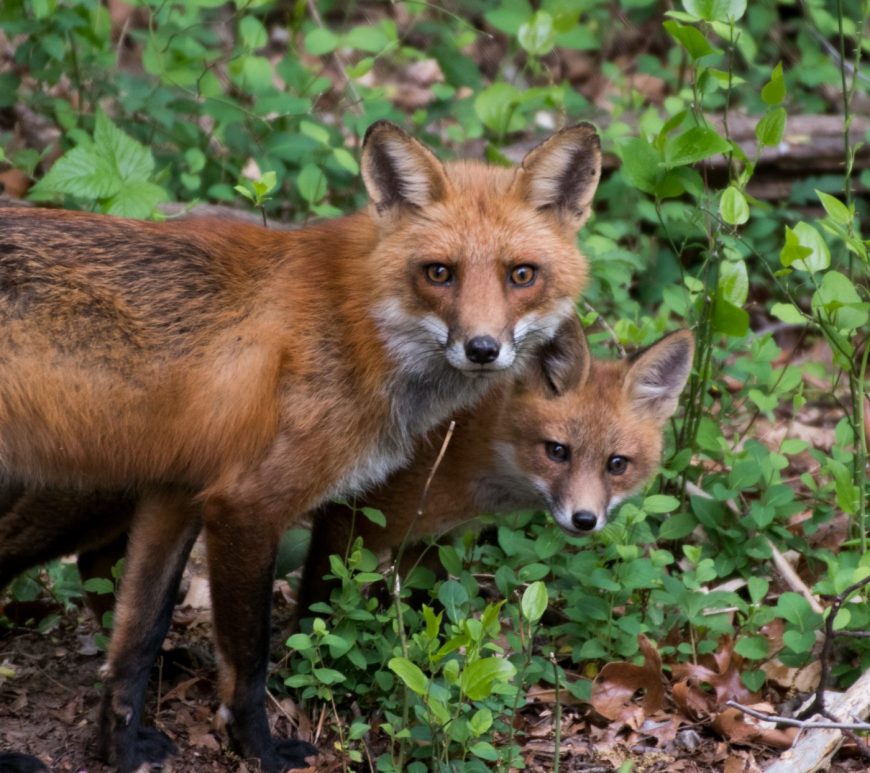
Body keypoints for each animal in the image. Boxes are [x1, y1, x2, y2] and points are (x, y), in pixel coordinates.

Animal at [0, 121, 601, 772]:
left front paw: (120, 747)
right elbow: (250, 659)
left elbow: (138, 637)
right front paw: (258, 748)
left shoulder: (178, 492)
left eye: (523, 274)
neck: (360, 324)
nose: (483, 349)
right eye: (439, 273)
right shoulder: (245, 507)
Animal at [298, 322, 694, 615]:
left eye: (616, 464)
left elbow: (428, 606)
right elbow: (319, 604)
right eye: (557, 451)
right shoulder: (348, 517)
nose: (584, 519)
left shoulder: (429, 539)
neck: (462, 444)